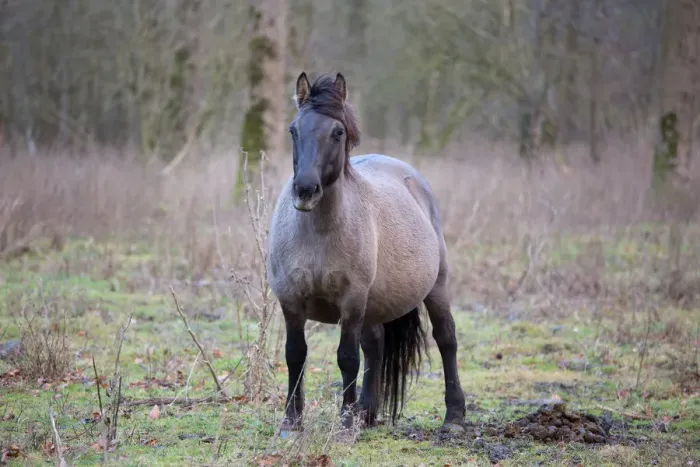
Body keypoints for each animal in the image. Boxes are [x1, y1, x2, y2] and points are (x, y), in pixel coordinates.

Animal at [266, 72, 466, 437]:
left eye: (338, 132)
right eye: (293, 130)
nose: (305, 190)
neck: (318, 234)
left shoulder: (352, 300)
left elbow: (347, 357)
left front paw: (345, 423)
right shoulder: (290, 299)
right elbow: (295, 355)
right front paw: (291, 422)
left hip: (436, 287)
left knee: (446, 339)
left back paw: (454, 416)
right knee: (375, 344)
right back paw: (368, 413)